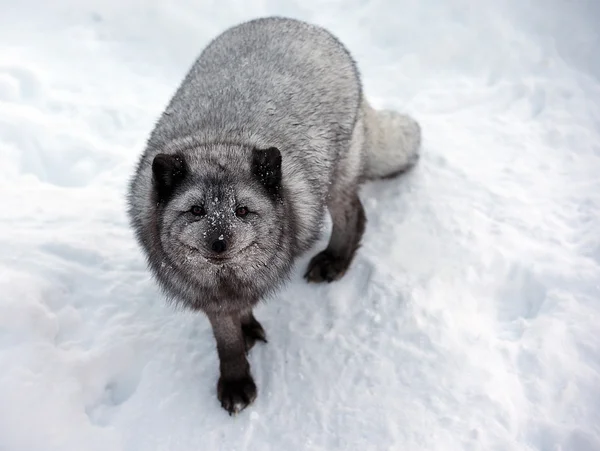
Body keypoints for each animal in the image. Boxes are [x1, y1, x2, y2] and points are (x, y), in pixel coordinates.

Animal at [126, 15, 420, 416]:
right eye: (197, 210)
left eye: (242, 210)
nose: (219, 242)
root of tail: (298, 21)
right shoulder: (208, 296)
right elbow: (226, 339)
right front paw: (238, 363)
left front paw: (239, 371)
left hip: (336, 179)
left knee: (354, 213)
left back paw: (335, 260)